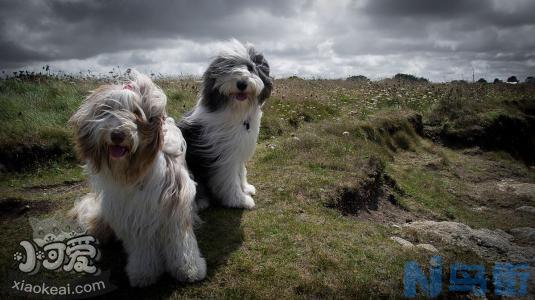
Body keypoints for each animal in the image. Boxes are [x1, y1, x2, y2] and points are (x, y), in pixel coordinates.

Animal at [68, 69, 205, 286]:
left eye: (136, 113)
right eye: (107, 111)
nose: (117, 134)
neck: (136, 172)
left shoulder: (174, 206)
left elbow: (181, 244)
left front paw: (189, 270)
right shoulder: (133, 217)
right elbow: (142, 250)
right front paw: (144, 274)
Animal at [179, 39, 272, 210]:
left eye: (250, 67)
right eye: (228, 68)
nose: (241, 83)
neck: (237, 111)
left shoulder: (239, 148)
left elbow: (241, 172)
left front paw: (246, 188)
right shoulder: (223, 157)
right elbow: (230, 180)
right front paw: (240, 200)